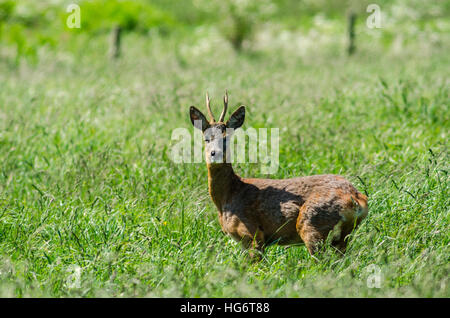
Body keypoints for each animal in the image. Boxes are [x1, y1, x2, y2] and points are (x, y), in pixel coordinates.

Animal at [188, 91, 368, 258]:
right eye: (206, 139)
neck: (228, 195)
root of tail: (357, 198)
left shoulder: (252, 234)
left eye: (226, 138)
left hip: (312, 225)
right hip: (340, 237)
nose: (215, 153)